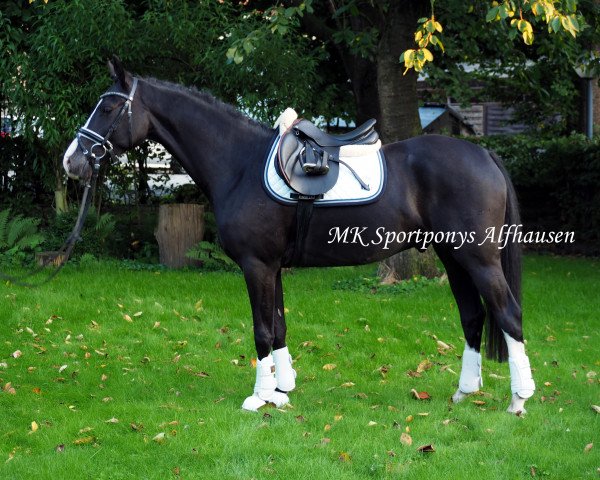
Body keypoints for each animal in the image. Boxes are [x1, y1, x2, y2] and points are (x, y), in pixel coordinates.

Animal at [64, 59, 536, 412]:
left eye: (108, 109)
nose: (73, 161)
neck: (240, 163)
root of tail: (484, 154)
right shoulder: (272, 267)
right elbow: (279, 326)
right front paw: (282, 389)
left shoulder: (256, 266)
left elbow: (261, 329)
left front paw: (259, 398)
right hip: (453, 256)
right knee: (473, 316)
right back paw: (464, 392)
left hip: (478, 257)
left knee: (509, 314)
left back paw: (519, 399)